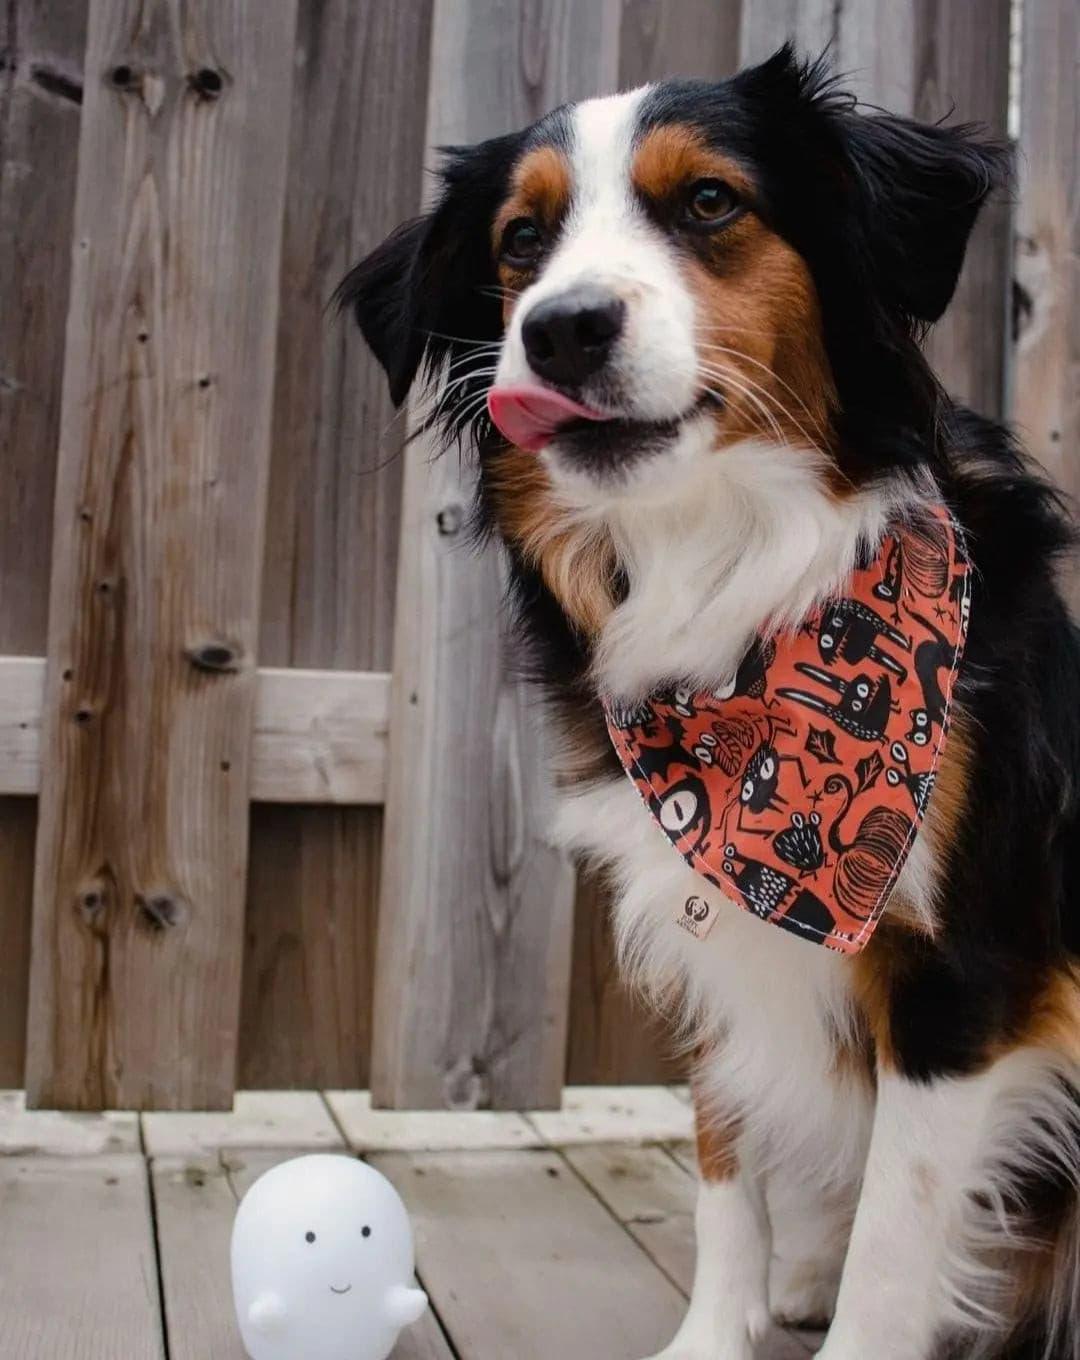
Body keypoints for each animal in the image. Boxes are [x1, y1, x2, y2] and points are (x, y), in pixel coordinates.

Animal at [342, 47, 1077, 1360]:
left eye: (709, 202)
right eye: (520, 239)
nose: (561, 328)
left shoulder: (967, 976)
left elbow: (901, 1229)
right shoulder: (709, 917)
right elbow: (725, 1162)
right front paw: (716, 1331)